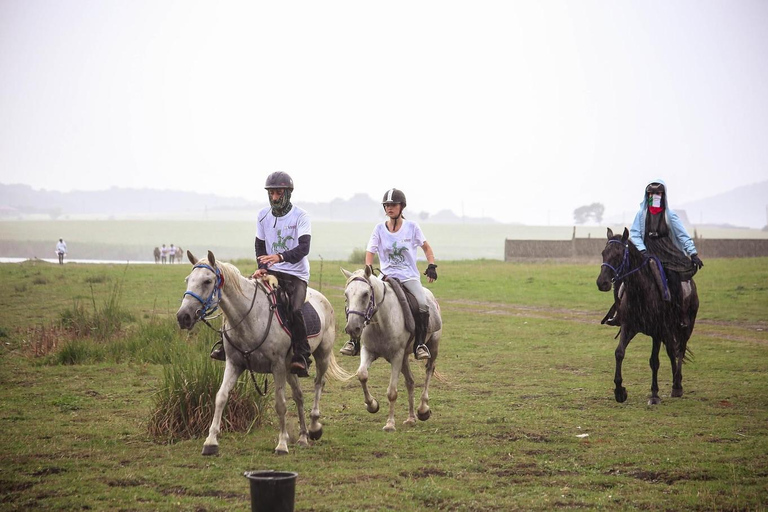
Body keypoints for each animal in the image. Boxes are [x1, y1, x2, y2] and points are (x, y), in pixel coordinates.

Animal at [177, 250, 352, 454]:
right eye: (188, 280)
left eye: (207, 281)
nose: (183, 317)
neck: (249, 317)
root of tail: (323, 299)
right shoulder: (234, 364)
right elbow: (221, 397)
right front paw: (210, 442)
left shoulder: (277, 367)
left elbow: (280, 404)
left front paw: (282, 444)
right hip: (291, 369)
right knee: (299, 396)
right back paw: (302, 437)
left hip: (321, 355)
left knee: (318, 383)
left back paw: (314, 428)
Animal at [340, 268, 440, 432]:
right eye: (346, 294)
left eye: (365, 294)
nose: (352, 328)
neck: (380, 322)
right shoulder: (368, 351)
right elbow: (362, 374)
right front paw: (372, 405)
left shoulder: (396, 356)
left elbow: (392, 392)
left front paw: (390, 424)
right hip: (405, 357)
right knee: (410, 381)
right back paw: (411, 418)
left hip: (433, 346)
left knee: (428, 371)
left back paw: (423, 409)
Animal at [596, 228, 700, 404]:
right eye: (603, 253)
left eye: (618, 254)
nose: (602, 283)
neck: (641, 291)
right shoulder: (629, 327)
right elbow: (619, 353)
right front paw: (619, 391)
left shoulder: (657, 332)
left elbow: (654, 361)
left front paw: (654, 395)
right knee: (672, 351)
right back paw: (675, 382)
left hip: (686, 327)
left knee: (680, 350)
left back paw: (677, 385)